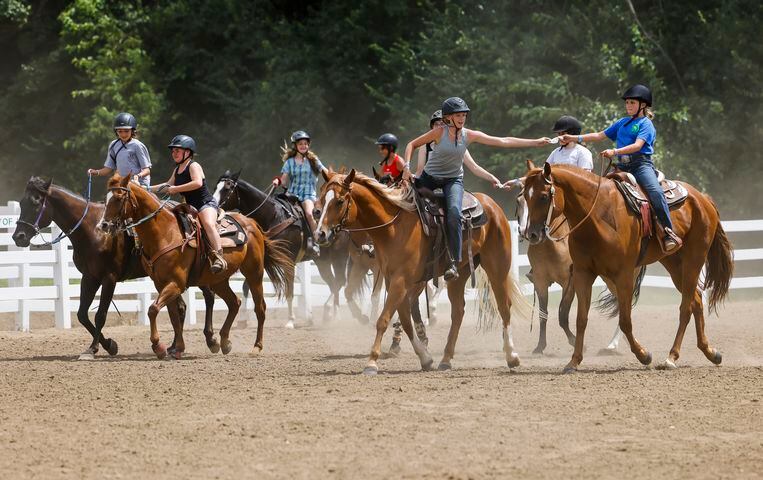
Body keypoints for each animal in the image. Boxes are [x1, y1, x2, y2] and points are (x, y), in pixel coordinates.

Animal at [11, 175, 221, 356]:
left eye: (36, 202)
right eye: (21, 203)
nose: (18, 236)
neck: (93, 230)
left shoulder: (109, 278)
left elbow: (100, 314)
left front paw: (94, 349)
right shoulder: (89, 277)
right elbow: (82, 314)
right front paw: (109, 345)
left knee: (209, 297)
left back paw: (210, 340)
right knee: (181, 307)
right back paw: (174, 346)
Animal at [101, 174, 292, 358]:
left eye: (118, 197)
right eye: (107, 197)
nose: (104, 225)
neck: (165, 233)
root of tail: (252, 223)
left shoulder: (176, 283)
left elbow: (153, 309)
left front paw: (158, 346)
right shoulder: (162, 284)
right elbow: (173, 315)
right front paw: (177, 348)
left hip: (254, 273)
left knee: (260, 308)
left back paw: (256, 347)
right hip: (218, 280)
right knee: (234, 303)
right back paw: (224, 342)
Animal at [213, 171, 354, 324]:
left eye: (227, 188)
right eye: (216, 186)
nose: (213, 207)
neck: (273, 216)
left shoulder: (289, 261)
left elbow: (290, 289)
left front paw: (290, 320)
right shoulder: (263, 260)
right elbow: (246, 286)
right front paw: (243, 319)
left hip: (339, 257)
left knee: (339, 281)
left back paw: (333, 313)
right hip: (323, 262)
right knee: (333, 283)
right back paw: (332, 315)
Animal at [314, 169, 524, 376]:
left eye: (339, 201)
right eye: (322, 200)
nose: (319, 234)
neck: (393, 228)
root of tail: (491, 205)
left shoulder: (401, 281)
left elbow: (383, 319)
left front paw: (372, 362)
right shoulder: (393, 281)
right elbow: (405, 321)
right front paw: (425, 358)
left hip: (497, 268)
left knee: (504, 307)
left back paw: (512, 355)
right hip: (459, 275)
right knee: (457, 312)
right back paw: (446, 359)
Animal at [524, 162, 732, 372]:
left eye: (543, 196)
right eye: (524, 195)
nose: (531, 234)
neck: (598, 215)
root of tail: (702, 198)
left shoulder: (623, 274)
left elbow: (625, 320)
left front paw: (643, 355)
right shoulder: (583, 274)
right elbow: (581, 319)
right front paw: (573, 362)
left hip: (694, 259)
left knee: (686, 308)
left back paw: (672, 357)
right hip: (674, 263)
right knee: (696, 301)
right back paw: (710, 352)